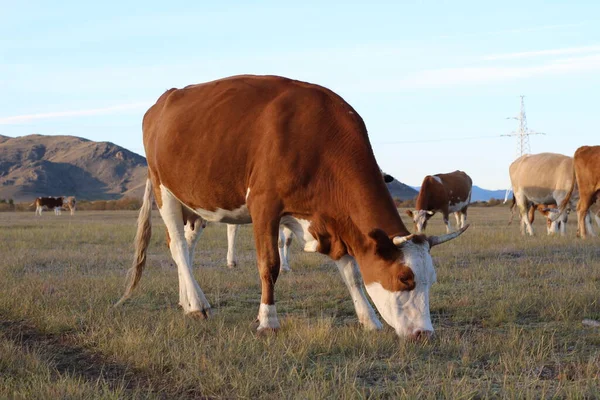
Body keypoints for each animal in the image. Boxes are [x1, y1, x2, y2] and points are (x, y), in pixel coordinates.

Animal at [117, 73, 468, 340]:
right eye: (405, 278)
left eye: (431, 280)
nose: (425, 334)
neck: (317, 138)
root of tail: (164, 100)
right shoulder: (264, 206)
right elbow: (269, 265)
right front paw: (268, 321)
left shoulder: (328, 220)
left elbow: (352, 272)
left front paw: (368, 319)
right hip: (164, 189)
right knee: (177, 244)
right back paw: (197, 306)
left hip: (194, 203)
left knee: (185, 249)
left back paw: (187, 300)